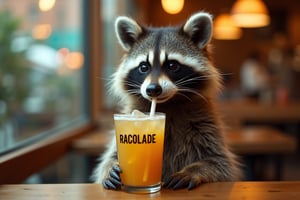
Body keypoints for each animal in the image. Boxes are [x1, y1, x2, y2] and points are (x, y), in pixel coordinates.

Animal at [92, 11, 243, 190]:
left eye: (172, 65)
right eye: (144, 67)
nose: (152, 89)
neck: (168, 104)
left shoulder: (207, 126)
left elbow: (221, 164)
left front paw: (193, 170)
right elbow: (109, 158)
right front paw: (110, 168)